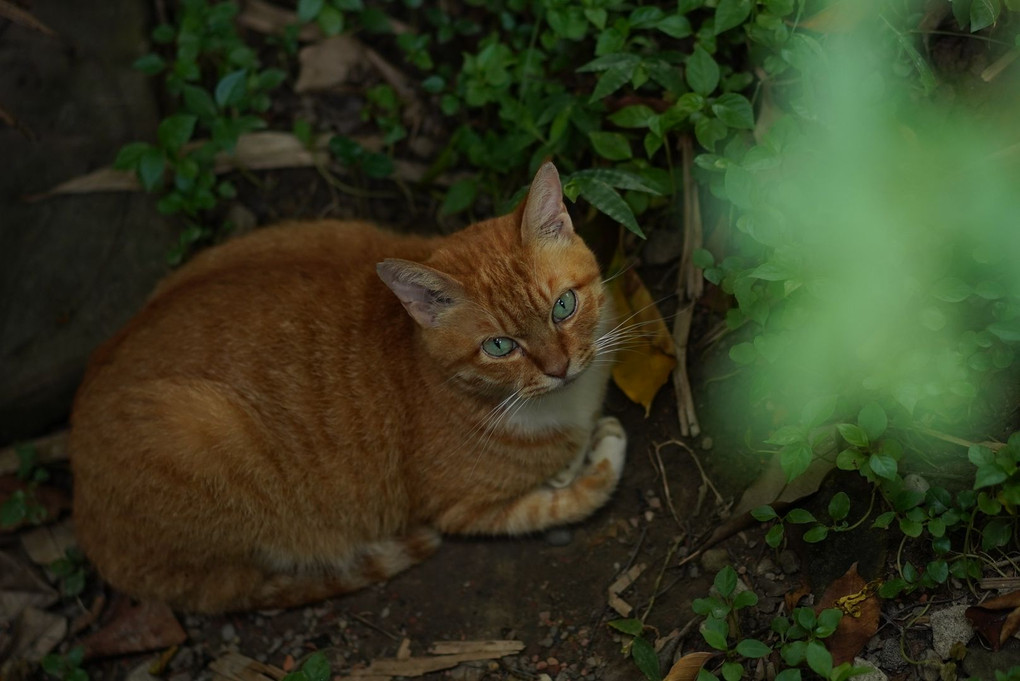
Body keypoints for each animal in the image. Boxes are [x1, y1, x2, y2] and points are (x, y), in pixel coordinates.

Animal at [69, 162, 620, 615]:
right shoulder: (462, 511)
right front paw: (594, 457)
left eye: (564, 306)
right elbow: (573, 497)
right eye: (500, 346)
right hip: (202, 435)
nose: (559, 367)